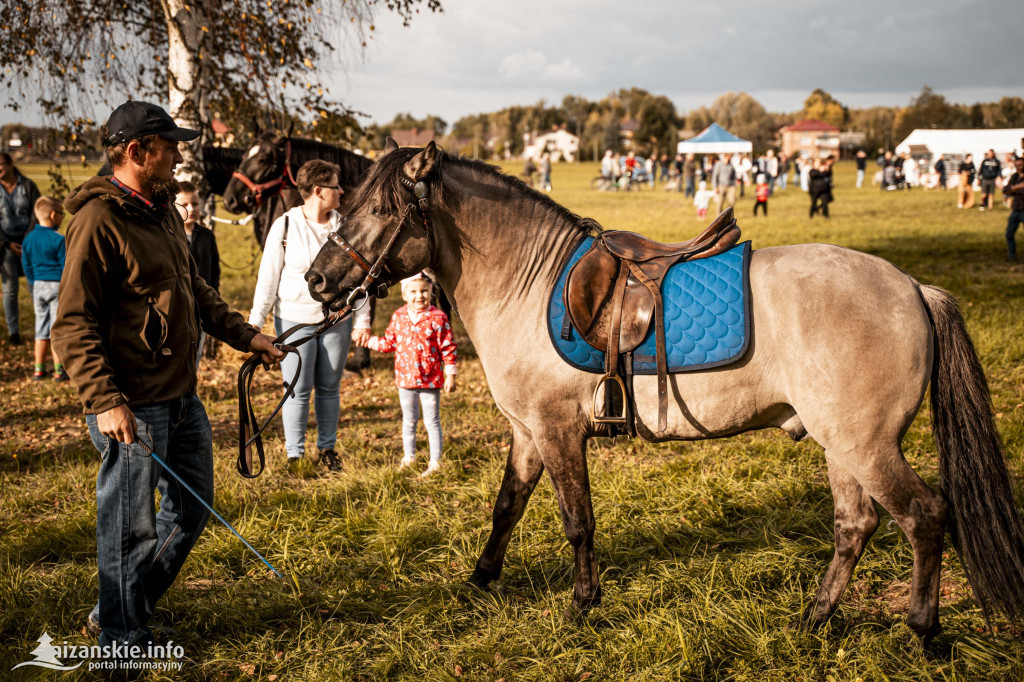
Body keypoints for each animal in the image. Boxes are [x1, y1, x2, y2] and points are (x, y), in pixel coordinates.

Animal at [303, 140, 1024, 634]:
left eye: (377, 209)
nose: (316, 280)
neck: (528, 284)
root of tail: (913, 288)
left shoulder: (558, 431)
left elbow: (577, 521)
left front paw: (583, 603)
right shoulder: (528, 432)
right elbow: (506, 507)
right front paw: (481, 579)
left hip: (864, 443)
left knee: (923, 517)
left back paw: (922, 631)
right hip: (840, 443)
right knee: (857, 525)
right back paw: (815, 618)